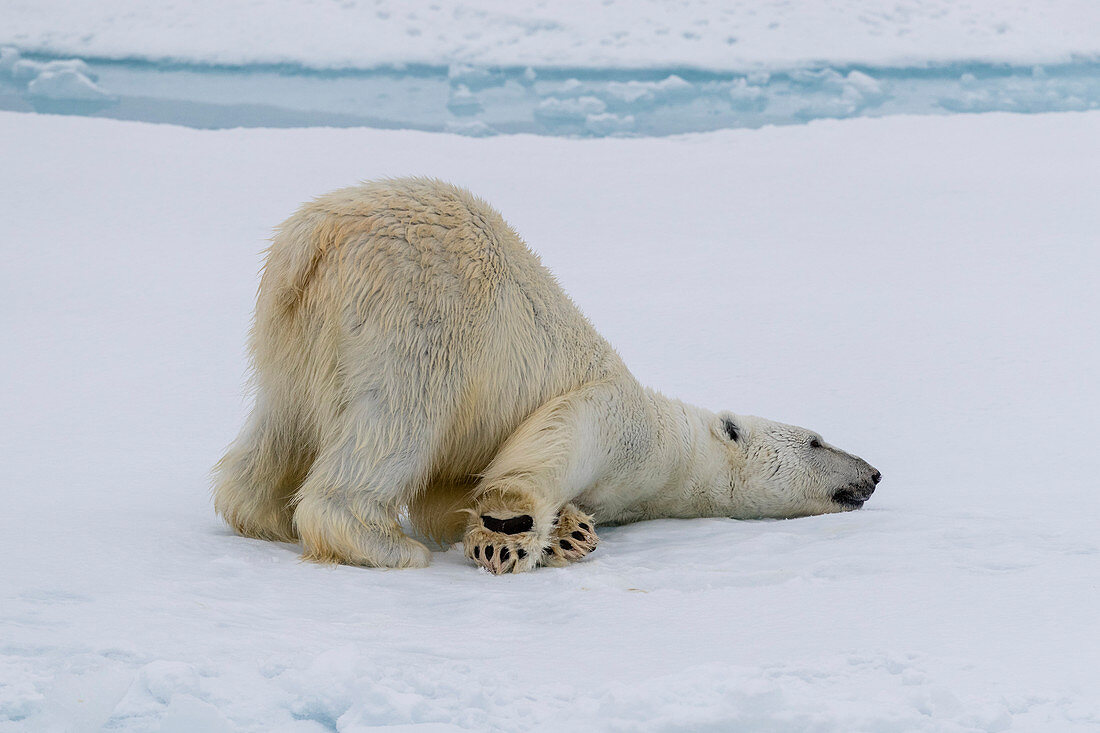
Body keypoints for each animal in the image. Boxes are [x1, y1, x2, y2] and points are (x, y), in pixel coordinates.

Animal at [212, 176, 884, 572]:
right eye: (817, 440)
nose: (874, 473)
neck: (675, 445)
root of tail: (315, 235)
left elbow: (450, 493)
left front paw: (569, 531)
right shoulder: (616, 417)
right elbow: (551, 441)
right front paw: (509, 531)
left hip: (293, 335)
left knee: (280, 426)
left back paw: (263, 516)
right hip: (419, 316)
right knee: (395, 424)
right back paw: (384, 544)